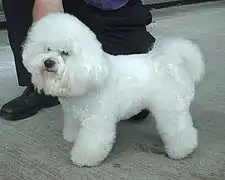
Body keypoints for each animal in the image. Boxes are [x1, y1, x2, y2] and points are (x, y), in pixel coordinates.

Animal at [22, 12, 205, 167]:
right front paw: (72, 137)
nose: (48, 62)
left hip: (170, 109)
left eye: (65, 53)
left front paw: (83, 158)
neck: (91, 75)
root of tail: (171, 63)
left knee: (179, 129)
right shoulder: (75, 114)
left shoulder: (97, 119)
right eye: (47, 49)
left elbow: (92, 142)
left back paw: (182, 151)